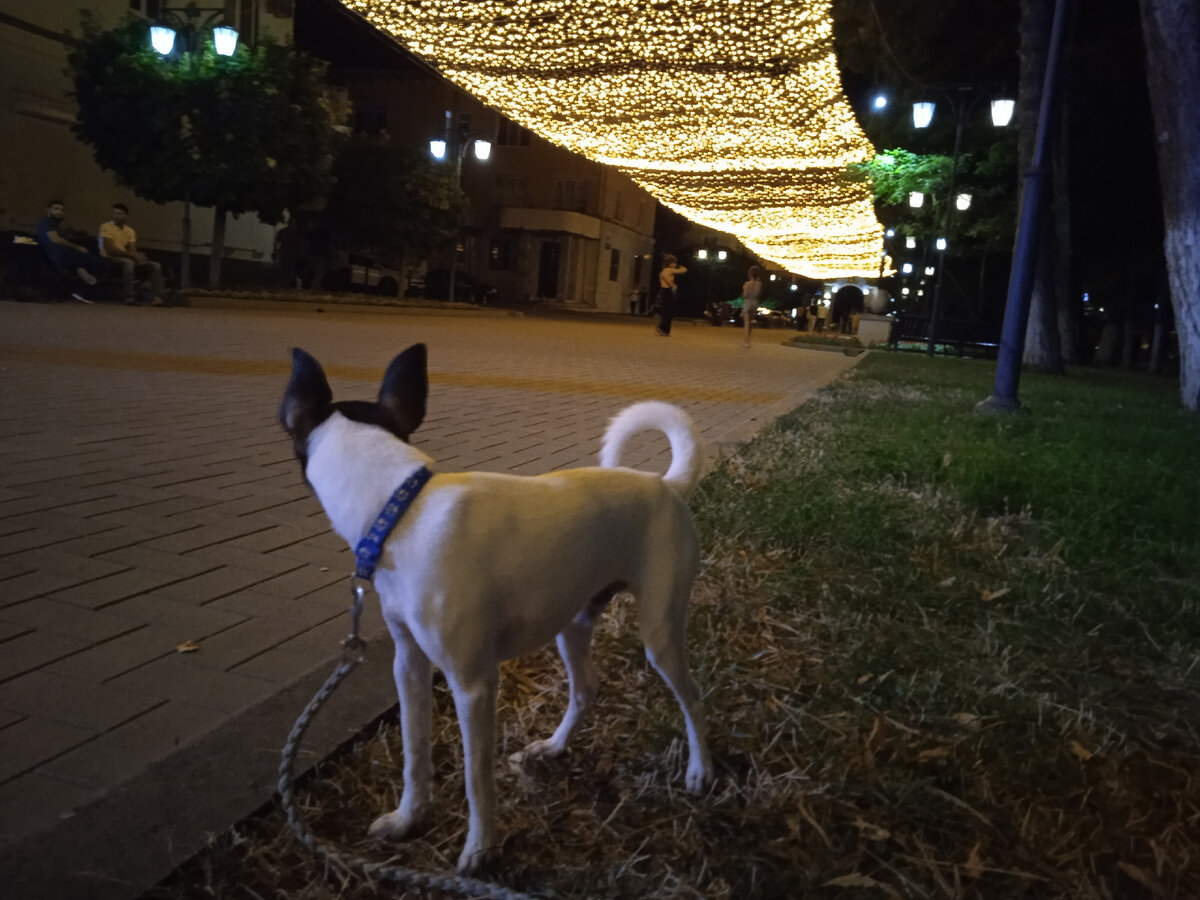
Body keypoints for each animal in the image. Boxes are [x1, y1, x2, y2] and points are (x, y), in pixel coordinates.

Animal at [278, 343, 710, 873]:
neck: (404, 510)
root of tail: (665, 485)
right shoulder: (409, 666)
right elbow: (414, 754)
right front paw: (408, 818)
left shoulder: (473, 684)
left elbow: (475, 776)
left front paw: (480, 849)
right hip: (571, 623)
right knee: (586, 688)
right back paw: (553, 747)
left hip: (660, 631)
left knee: (691, 696)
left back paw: (700, 769)